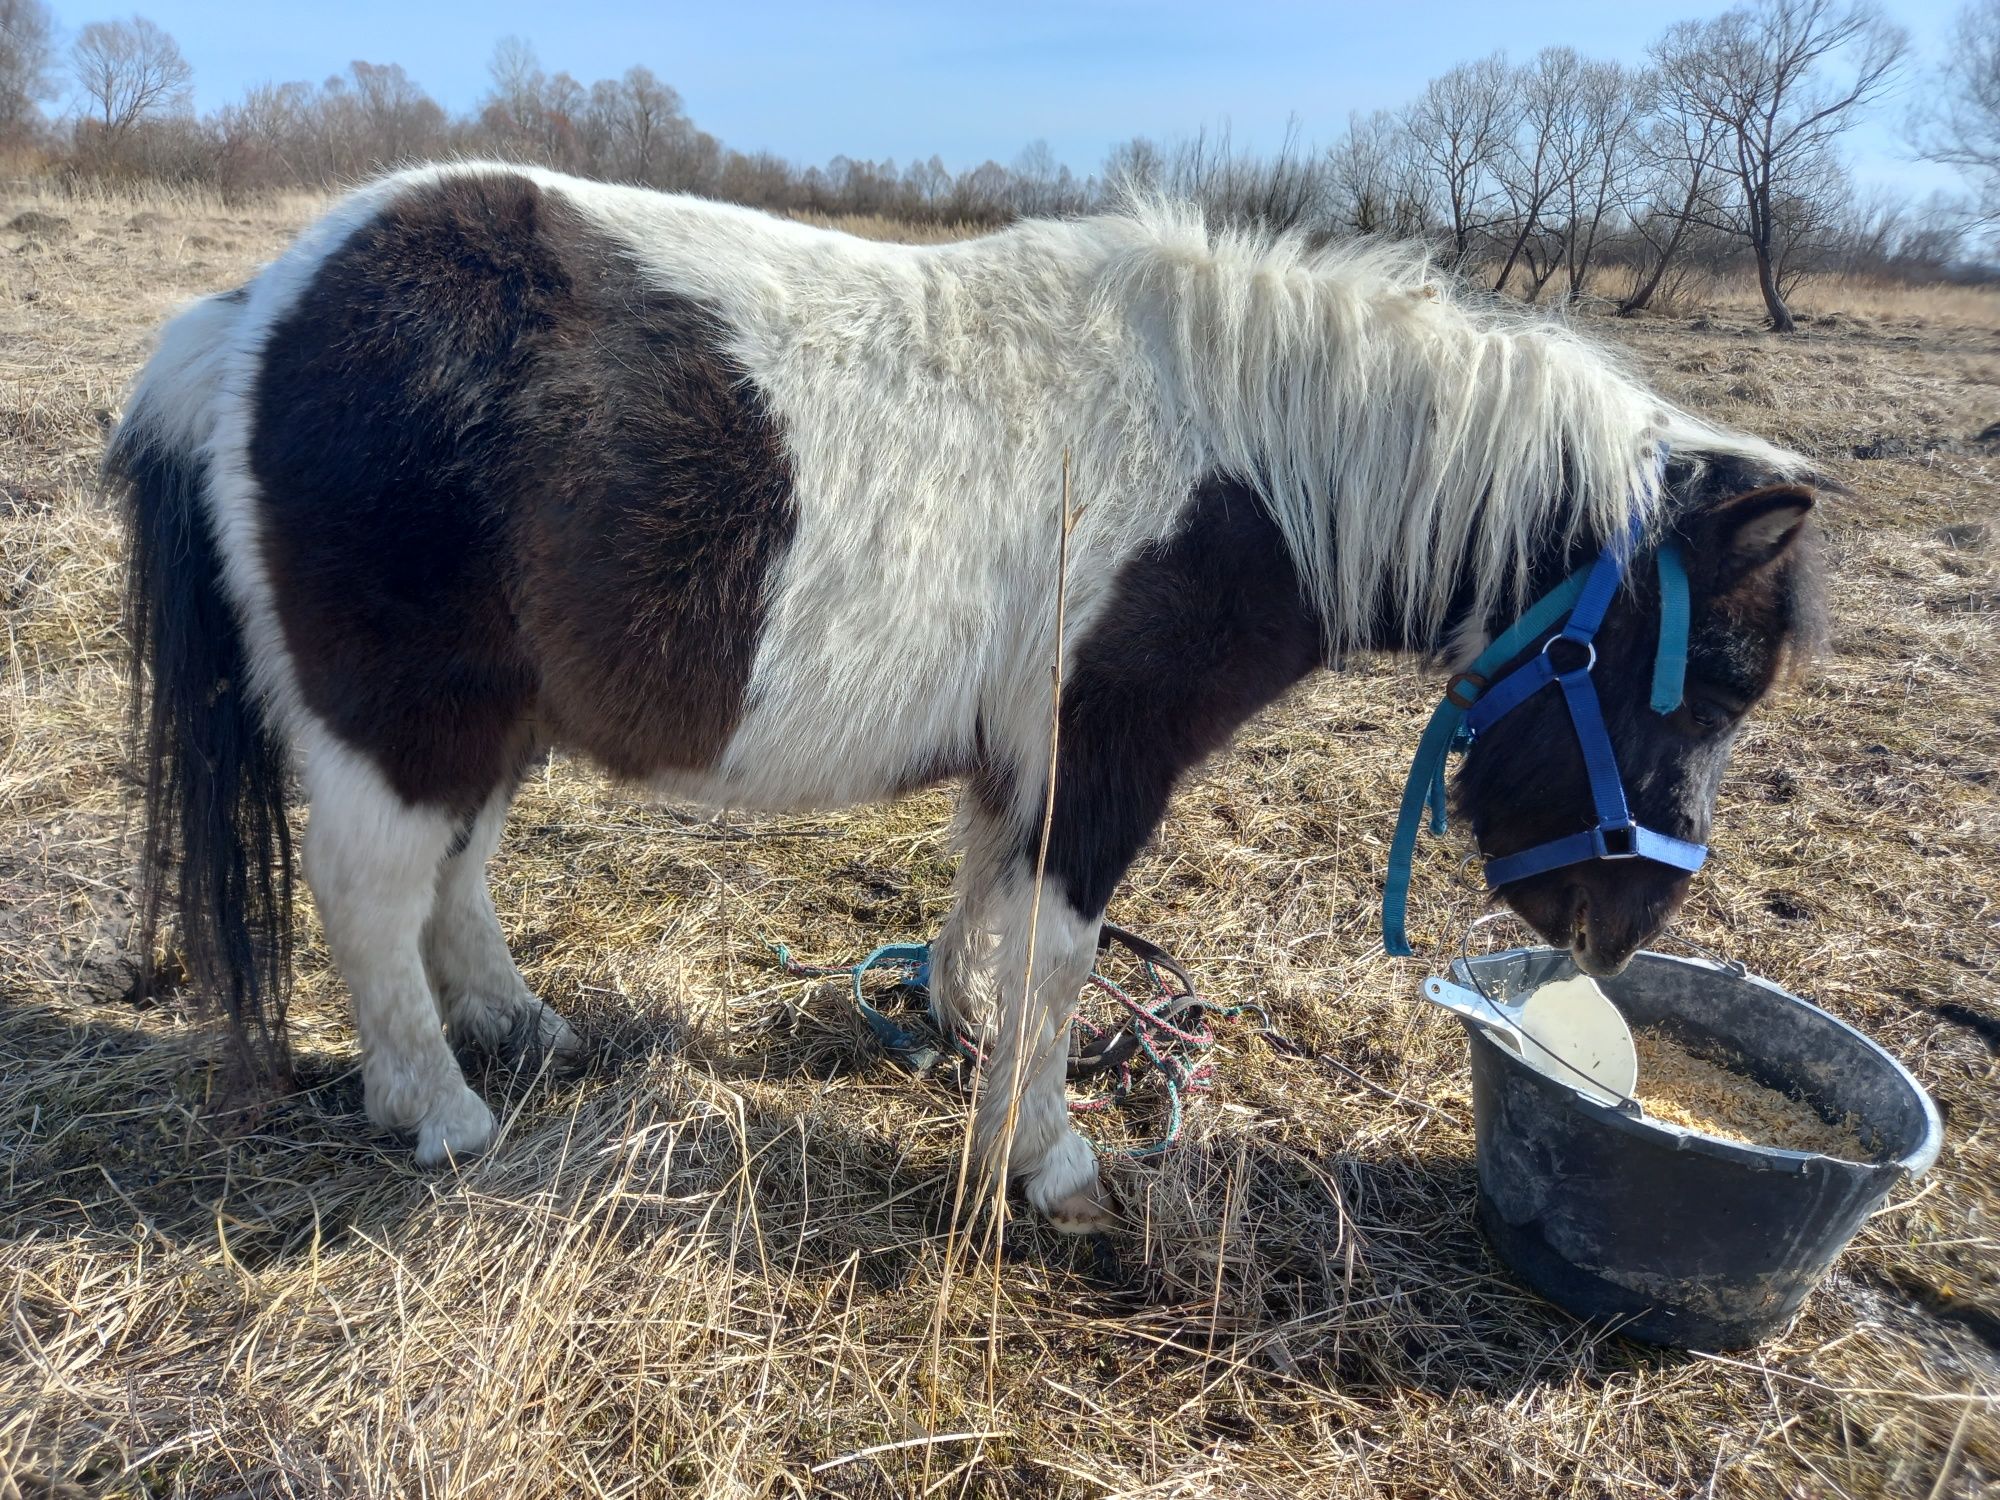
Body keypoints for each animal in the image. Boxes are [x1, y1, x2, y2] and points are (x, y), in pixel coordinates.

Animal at [109, 162, 1832, 1232]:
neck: (1249, 464)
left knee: (451, 876)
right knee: (372, 889)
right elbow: (1062, 951)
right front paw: (1047, 1154)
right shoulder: (1107, 755)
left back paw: (514, 1026)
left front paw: (954, 1027)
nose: (1619, 935)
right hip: (398, 717)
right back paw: (441, 1110)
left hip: (492, 717)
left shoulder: (1031, 752)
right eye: (1714, 682)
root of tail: (257, 311)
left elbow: (983, 894)